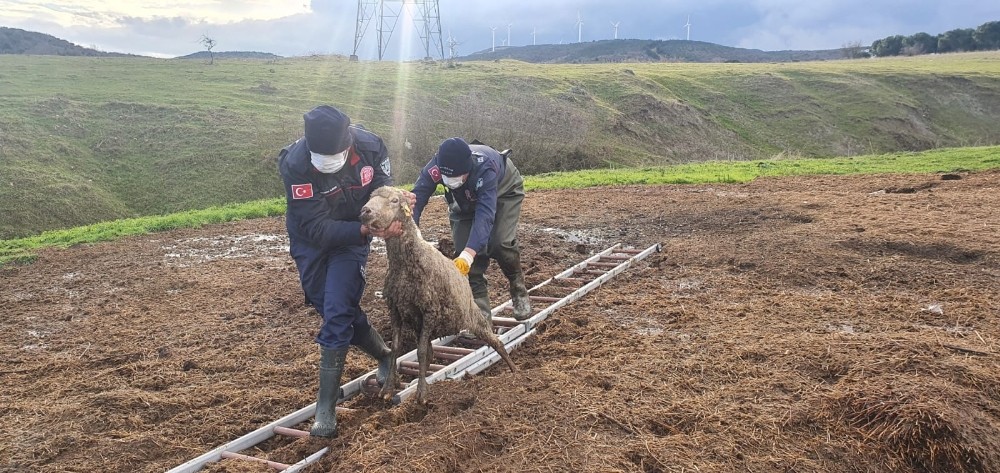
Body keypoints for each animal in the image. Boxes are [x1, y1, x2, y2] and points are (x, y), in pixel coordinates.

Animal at [358, 186, 516, 404]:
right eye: (370, 197)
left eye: (394, 200)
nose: (365, 211)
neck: (405, 265)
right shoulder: (395, 309)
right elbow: (397, 349)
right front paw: (388, 389)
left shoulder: (430, 310)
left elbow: (421, 352)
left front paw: (422, 393)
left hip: (473, 316)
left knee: (496, 341)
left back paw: (514, 370)